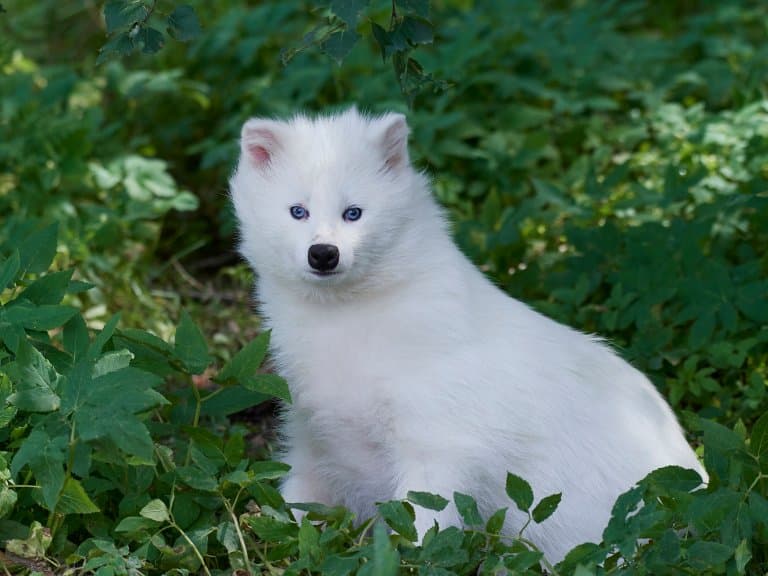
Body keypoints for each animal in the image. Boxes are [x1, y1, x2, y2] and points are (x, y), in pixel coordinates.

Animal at [230, 106, 708, 560]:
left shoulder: (438, 447)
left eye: (354, 213)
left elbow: (422, 527)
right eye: (298, 211)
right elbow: (297, 505)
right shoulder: (310, 436)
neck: (347, 319)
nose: (324, 254)